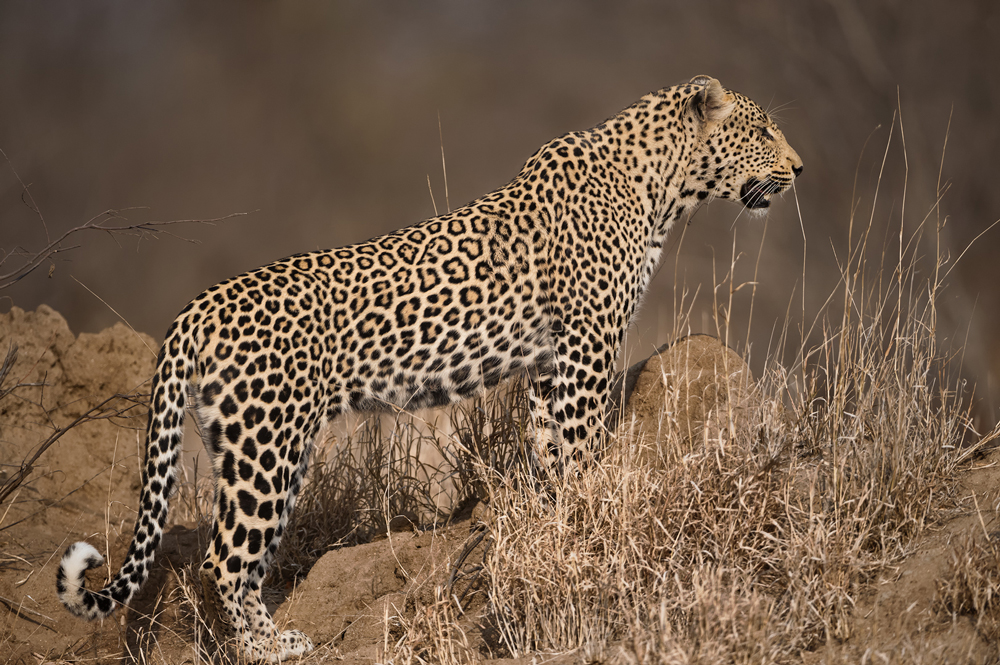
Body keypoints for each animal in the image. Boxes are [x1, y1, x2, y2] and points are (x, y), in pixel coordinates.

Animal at [56, 74, 804, 660]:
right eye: (765, 129)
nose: (800, 169)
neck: (664, 185)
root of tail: (198, 305)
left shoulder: (551, 362)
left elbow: (549, 448)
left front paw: (556, 518)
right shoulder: (589, 346)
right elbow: (585, 445)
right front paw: (599, 512)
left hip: (243, 444)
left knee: (236, 551)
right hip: (267, 446)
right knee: (226, 558)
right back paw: (270, 646)